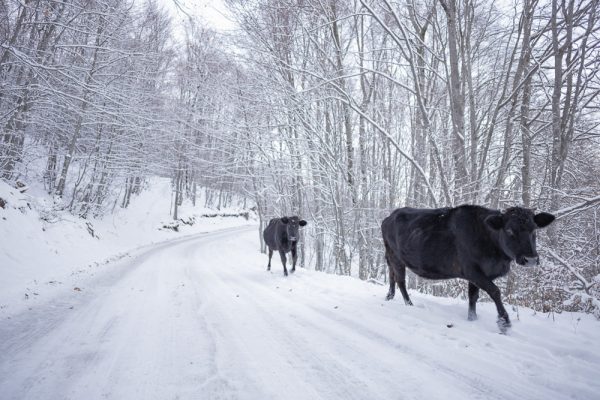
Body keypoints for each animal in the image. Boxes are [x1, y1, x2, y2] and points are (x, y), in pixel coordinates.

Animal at [382, 205, 556, 332]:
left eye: (534, 229)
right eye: (509, 230)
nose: (531, 259)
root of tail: (389, 216)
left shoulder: (478, 276)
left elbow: (473, 297)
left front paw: (472, 319)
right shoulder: (472, 271)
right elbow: (495, 291)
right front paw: (504, 321)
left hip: (391, 256)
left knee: (391, 275)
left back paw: (389, 296)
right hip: (396, 257)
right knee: (400, 280)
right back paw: (409, 304)